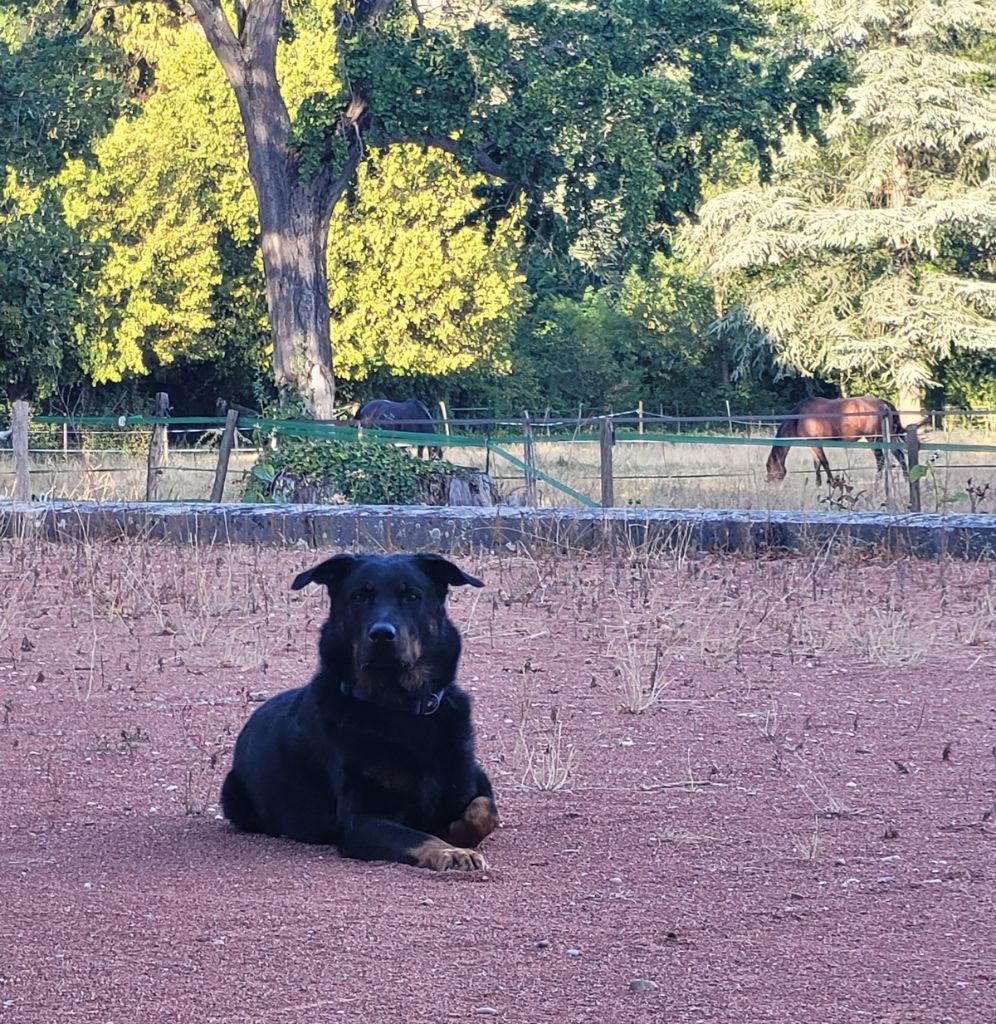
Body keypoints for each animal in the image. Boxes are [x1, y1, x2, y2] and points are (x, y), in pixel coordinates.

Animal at [220, 557, 495, 868]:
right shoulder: (364, 821)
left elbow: (484, 812)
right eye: (359, 596)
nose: (382, 634)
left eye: (412, 596)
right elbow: (419, 836)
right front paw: (452, 850)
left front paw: (455, 833)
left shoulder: (471, 782)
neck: (399, 708)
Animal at [765, 395, 904, 483]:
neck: (799, 418)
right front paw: (818, 485)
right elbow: (817, 465)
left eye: (771, 471)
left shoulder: (816, 443)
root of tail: (883, 403)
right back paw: (906, 477)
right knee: (899, 455)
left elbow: (824, 463)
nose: (772, 487)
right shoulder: (812, 444)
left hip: (875, 439)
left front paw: (832, 483)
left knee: (880, 461)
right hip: (889, 437)